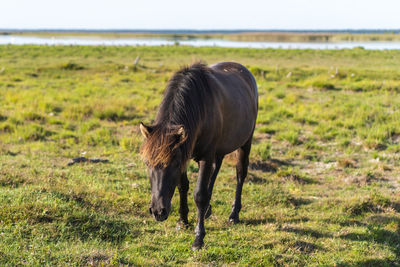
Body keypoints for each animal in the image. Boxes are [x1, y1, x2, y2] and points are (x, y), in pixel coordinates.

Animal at [141, 61, 260, 250]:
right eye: (147, 163)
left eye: (173, 164)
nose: (158, 212)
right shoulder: (185, 152)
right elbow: (183, 186)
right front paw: (182, 221)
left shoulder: (203, 156)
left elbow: (200, 195)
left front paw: (198, 238)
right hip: (220, 148)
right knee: (216, 170)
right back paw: (208, 211)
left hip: (245, 142)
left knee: (240, 174)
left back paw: (234, 214)